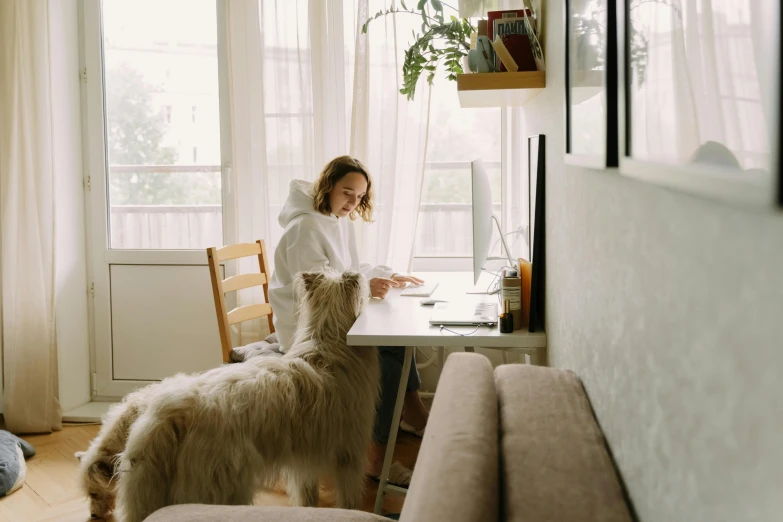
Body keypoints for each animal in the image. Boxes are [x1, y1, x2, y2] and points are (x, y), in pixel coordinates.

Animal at [112, 268, 378, 520]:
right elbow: (348, 497)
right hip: (218, 488)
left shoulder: (304, 460)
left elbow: (306, 495)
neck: (324, 343)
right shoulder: (350, 454)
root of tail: (171, 412)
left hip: (151, 489)